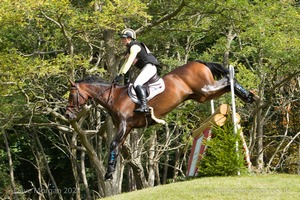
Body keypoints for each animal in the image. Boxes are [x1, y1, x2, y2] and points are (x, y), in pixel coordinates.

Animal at [65, 60, 258, 180]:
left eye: (72, 95)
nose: (67, 115)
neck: (115, 97)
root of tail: (199, 62)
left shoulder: (124, 124)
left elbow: (113, 144)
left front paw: (108, 173)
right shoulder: (128, 128)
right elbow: (116, 147)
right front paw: (110, 172)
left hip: (205, 88)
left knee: (226, 79)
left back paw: (249, 95)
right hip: (202, 96)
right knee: (225, 85)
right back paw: (248, 96)